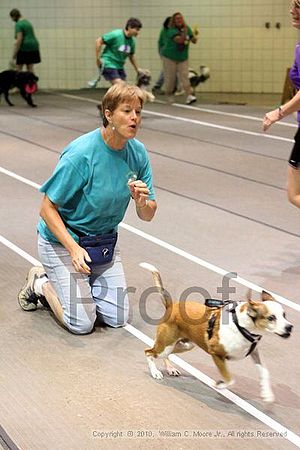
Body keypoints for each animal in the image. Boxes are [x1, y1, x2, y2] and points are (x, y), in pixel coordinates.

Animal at [141, 262, 292, 402]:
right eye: (271, 318)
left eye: (284, 315)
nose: (289, 327)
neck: (241, 325)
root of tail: (172, 305)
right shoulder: (217, 354)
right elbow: (230, 379)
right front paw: (219, 385)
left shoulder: (254, 353)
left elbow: (265, 372)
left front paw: (267, 395)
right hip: (166, 345)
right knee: (149, 352)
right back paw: (155, 372)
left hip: (184, 345)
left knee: (165, 354)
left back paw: (170, 368)